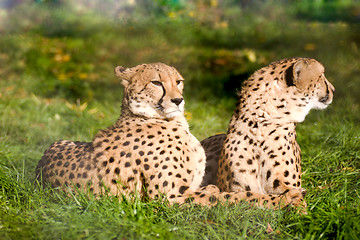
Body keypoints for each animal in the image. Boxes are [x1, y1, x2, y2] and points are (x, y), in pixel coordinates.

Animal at [36, 63, 306, 208]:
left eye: (178, 81)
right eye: (156, 82)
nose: (178, 99)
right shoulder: (169, 198)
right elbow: (232, 198)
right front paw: (285, 201)